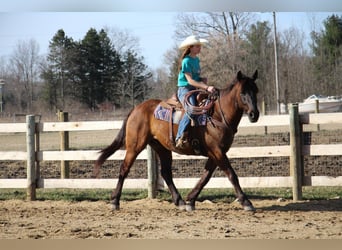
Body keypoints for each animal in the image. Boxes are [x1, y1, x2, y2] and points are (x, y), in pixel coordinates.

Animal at [93, 70, 260, 211]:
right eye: (243, 92)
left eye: (256, 91)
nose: (254, 114)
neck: (217, 115)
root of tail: (136, 109)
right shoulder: (217, 152)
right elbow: (232, 175)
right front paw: (247, 202)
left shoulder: (216, 153)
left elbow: (205, 177)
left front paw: (191, 200)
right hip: (135, 146)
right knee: (124, 169)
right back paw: (115, 201)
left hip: (162, 148)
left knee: (166, 173)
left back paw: (179, 201)